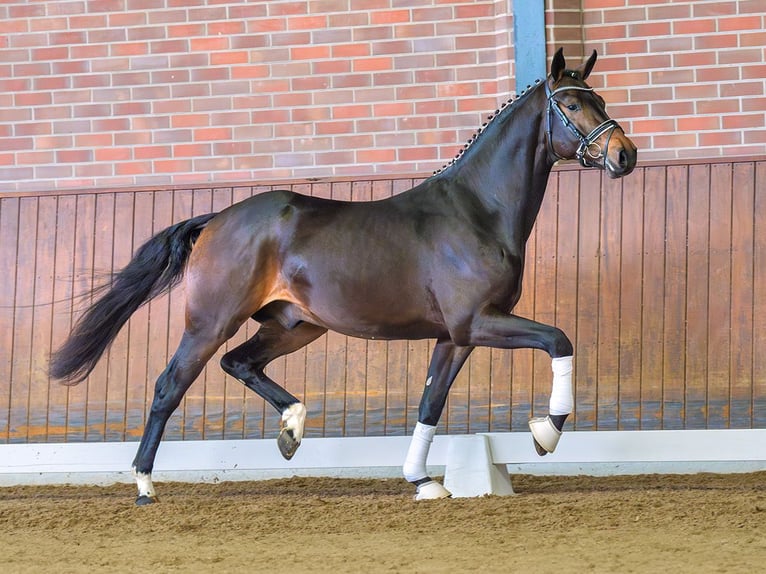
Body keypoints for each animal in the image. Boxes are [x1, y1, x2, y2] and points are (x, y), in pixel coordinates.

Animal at [48, 50, 636, 508]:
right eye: (572, 104)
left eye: (601, 100)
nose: (624, 154)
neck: (477, 211)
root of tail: (215, 220)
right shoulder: (479, 322)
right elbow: (559, 339)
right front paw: (544, 434)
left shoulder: (455, 336)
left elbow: (430, 404)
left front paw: (423, 482)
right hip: (211, 322)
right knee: (170, 386)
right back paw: (145, 484)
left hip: (295, 325)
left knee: (239, 363)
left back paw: (292, 429)